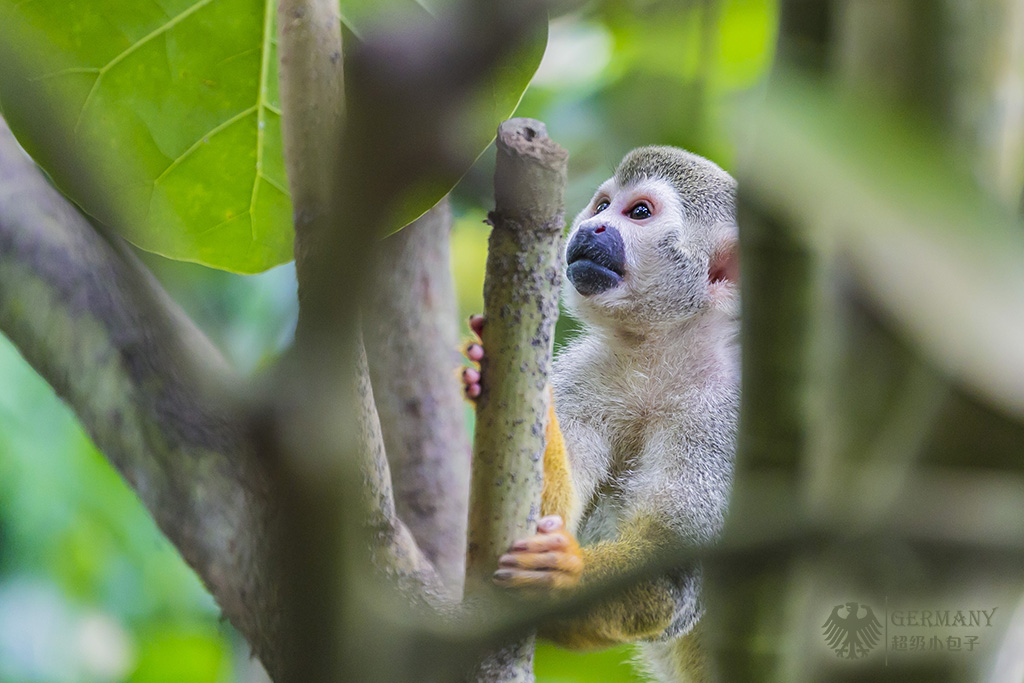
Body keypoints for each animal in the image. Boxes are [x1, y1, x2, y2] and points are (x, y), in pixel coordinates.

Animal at [462, 147, 737, 679]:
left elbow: (672, 573)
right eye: (603, 205)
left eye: (639, 212)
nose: (592, 227)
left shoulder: (723, 416)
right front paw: (498, 371)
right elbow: (541, 517)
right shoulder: (587, 376)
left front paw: (562, 576)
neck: (659, 355)